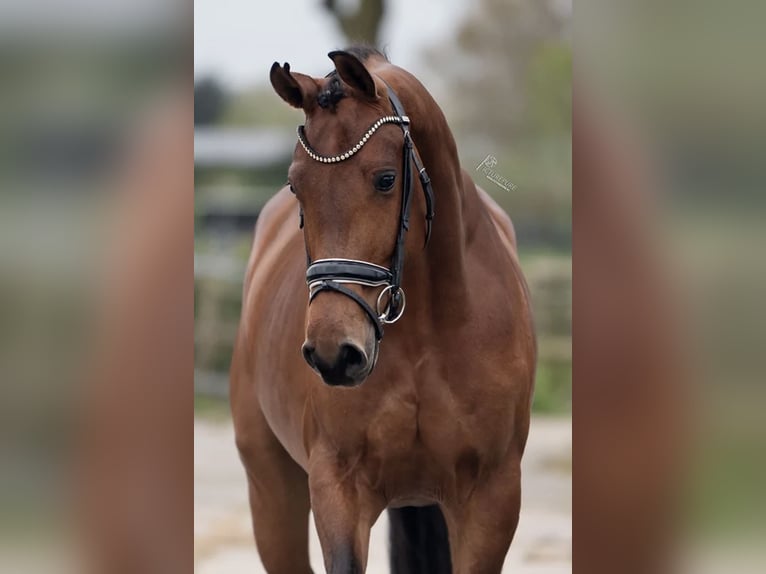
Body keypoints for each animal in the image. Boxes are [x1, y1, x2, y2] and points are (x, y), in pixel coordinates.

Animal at [231, 46, 536, 574]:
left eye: (385, 179)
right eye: (296, 187)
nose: (334, 353)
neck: (429, 334)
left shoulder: (491, 497)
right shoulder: (338, 487)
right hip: (271, 492)